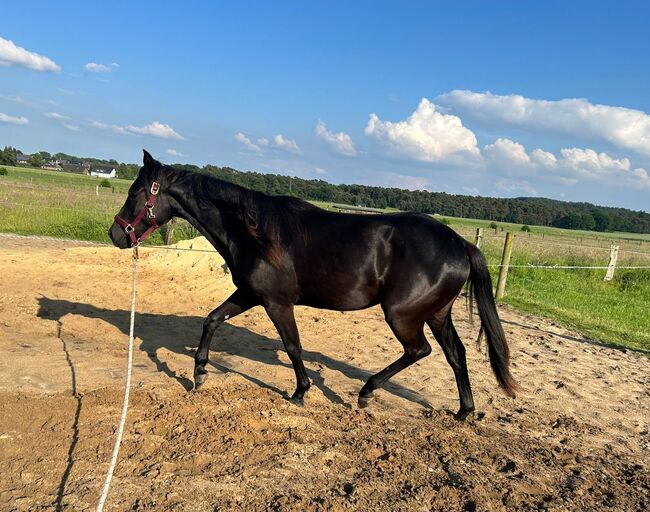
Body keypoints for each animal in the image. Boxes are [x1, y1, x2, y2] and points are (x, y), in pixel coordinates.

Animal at [111, 150, 516, 418]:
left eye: (135, 193)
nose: (116, 234)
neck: (253, 231)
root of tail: (460, 244)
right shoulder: (250, 294)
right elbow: (212, 319)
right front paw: (199, 374)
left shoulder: (277, 302)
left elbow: (293, 346)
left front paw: (300, 392)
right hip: (436, 313)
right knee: (455, 354)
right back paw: (464, 412)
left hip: (402, 315)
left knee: (420, 351)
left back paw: (367, 393)